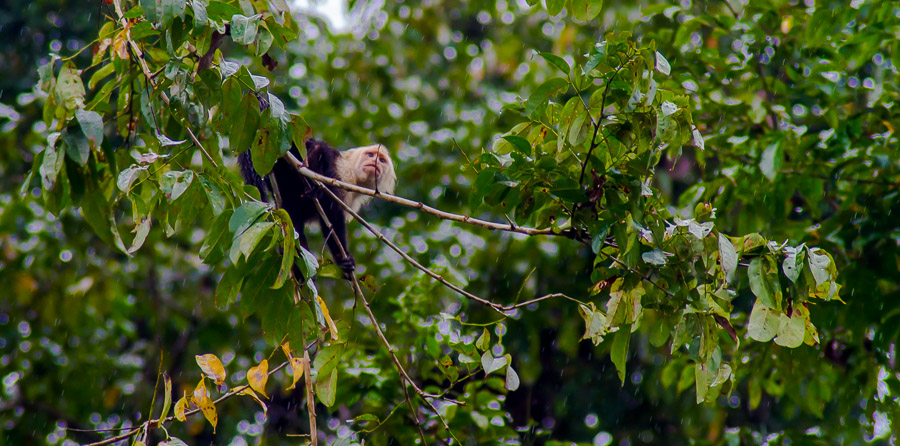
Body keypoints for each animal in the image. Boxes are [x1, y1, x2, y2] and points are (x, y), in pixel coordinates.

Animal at [237, 140, 396, 278]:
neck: (355, 179)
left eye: (382, 160)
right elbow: (331, 217)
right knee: (317, 147)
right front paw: (342, 258)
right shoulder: (342, 173)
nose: (375, 162)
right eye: (370, 155)